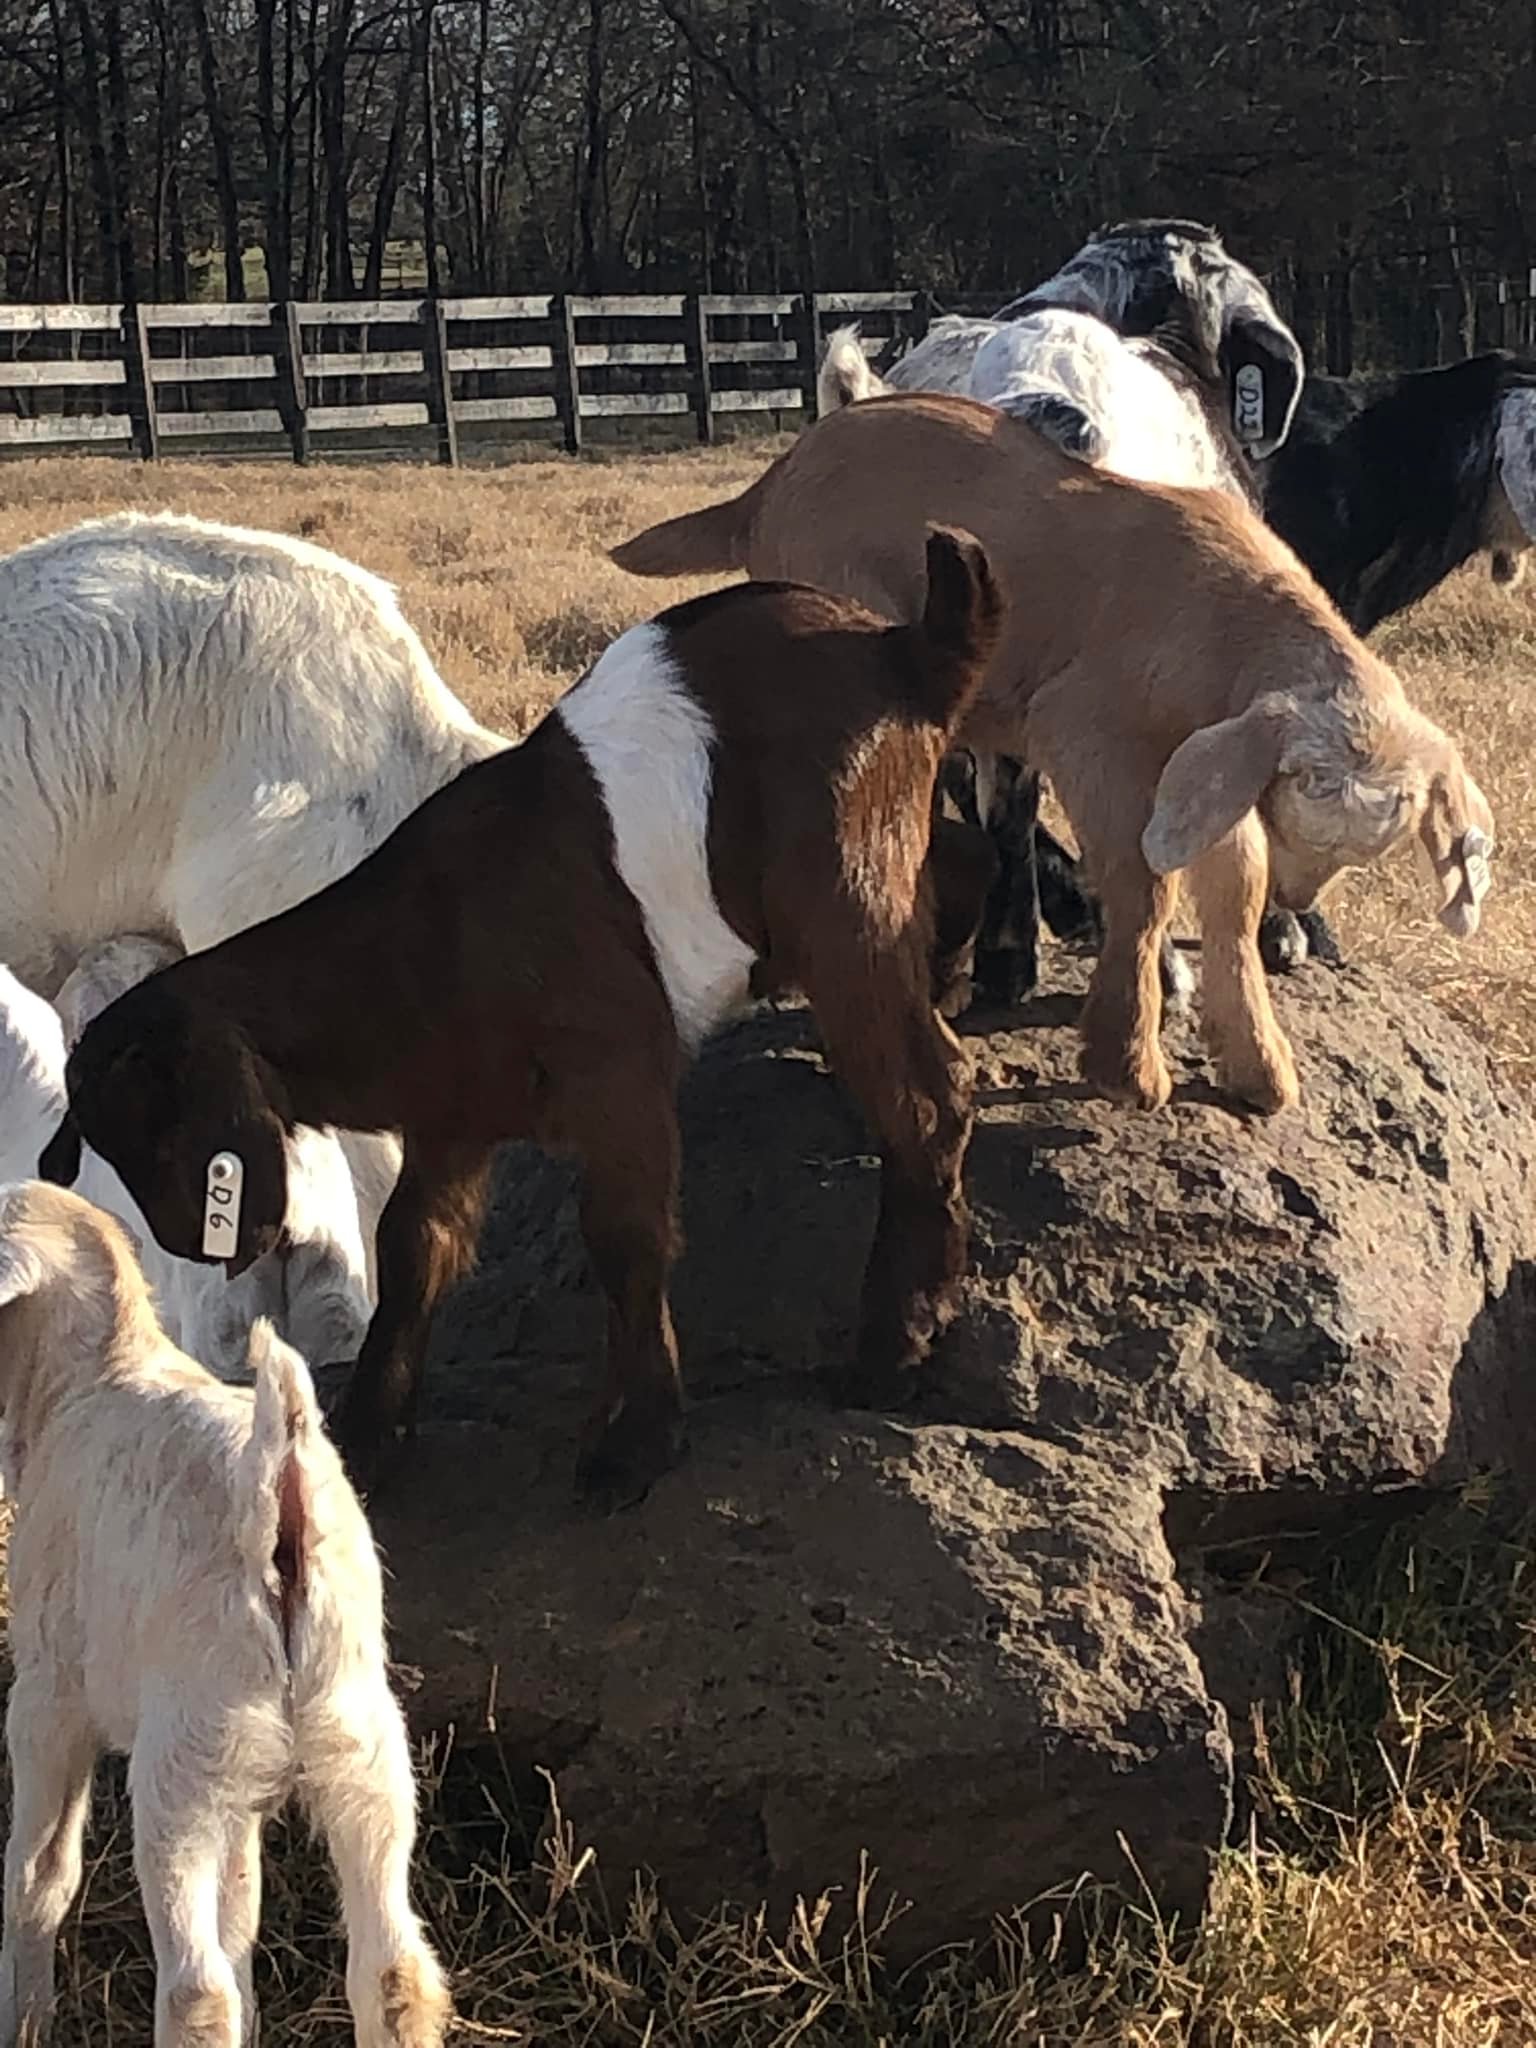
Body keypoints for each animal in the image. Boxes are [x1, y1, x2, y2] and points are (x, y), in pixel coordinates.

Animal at [0, 1180, 450, 2048]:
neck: (89, 1372)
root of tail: (281, 1487)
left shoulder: (46, 1698)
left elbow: (38, 1878)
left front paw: (25, 2017)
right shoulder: (243, 1792)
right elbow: (242, 1913)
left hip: (183, 1766)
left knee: (196, 1990)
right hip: (360, 1753)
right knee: (393, 1972)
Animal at [41, 535, 998, 1502]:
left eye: (166, 1130)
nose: (191, 1246)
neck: (432, 937)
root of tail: (908, 650)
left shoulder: (621, 1076)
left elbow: (626, 1238)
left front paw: (636, 1442)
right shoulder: (452, 1120)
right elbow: (414, 1246)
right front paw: (372, 1432)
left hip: (843, 899)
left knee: (927, 1100)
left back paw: (893, 1348)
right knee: (960, 891)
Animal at [611, 391, 1493, 1116]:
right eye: (1304, 785)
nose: (1300, 892)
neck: (1222, 622)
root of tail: (765, 490)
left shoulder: (1201, 762)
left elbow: (1231, 885)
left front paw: (1258, 1069)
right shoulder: (1089, 733)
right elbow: (1145, 885)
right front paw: (1128, 1065)